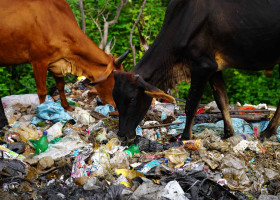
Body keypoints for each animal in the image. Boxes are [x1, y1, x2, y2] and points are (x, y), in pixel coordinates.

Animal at [0, 0, 128, 111]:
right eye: (116, 80)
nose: (116, 106)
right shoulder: (38, 61)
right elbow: (42, 91)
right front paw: (41, 112)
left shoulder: (56, 62)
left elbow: (61, 86)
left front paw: (66, 106)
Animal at [111, 0, 280, 141]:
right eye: (115, 99)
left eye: (132, 99)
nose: (122, 135)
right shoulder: (214, 68)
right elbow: (222, 100)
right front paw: (228, 133)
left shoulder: (202, 66)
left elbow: (191, 105)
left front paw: (186, 137)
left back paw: (267, 132)